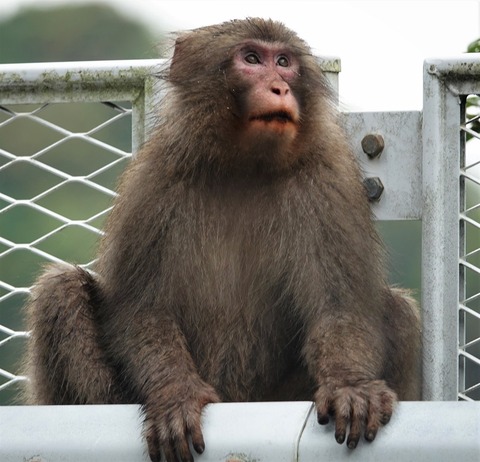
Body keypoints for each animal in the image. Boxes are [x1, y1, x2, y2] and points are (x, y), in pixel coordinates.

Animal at [23, 17, 420, 462]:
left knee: (398, 310)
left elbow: (341, 306)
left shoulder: (327, 181)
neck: (243, 165)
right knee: (60, 288)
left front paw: (350, 384)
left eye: (284, 63)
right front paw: (175, 394)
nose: (279, 87)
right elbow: (142, 309)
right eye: (251, 59)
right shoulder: (155, 180)